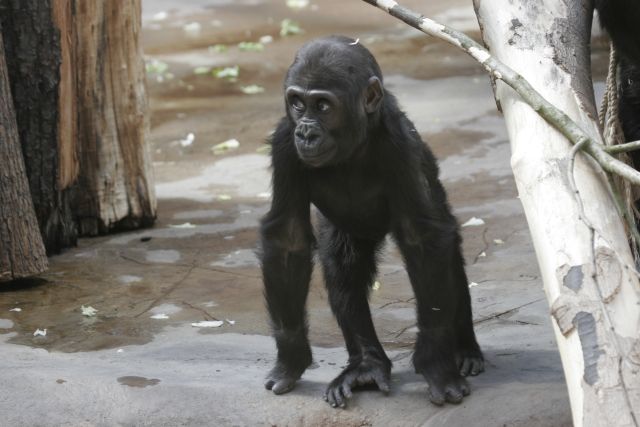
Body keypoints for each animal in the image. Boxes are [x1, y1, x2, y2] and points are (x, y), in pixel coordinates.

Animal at [258, 36, 482, 408]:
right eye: (297, 103)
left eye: (322, 105)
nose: (306, 133)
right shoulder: (283, 144)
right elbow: (288, 239)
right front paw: (291, 359)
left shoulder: (400, 144)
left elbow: (423, 239)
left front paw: (436, 363)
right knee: (342, 265)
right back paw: (366, 364)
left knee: (446, 254)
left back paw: (465, 349)